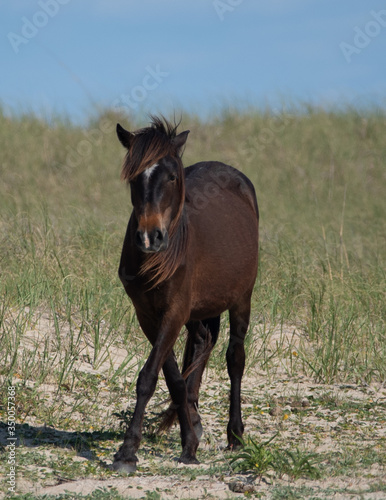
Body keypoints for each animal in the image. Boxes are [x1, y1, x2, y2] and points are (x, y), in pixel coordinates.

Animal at [113, 115, 260, 470]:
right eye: (134, 176)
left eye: (171, 176)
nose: (149, 237)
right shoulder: (149, 316)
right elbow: (171, 376)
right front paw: (189, 437)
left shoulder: (175, 311)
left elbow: (148, 377)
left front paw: (128, 450)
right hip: (201, 310)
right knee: (201, 344)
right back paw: (193, 417)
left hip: (241, 299)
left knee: (235, 359)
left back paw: (235, 435)